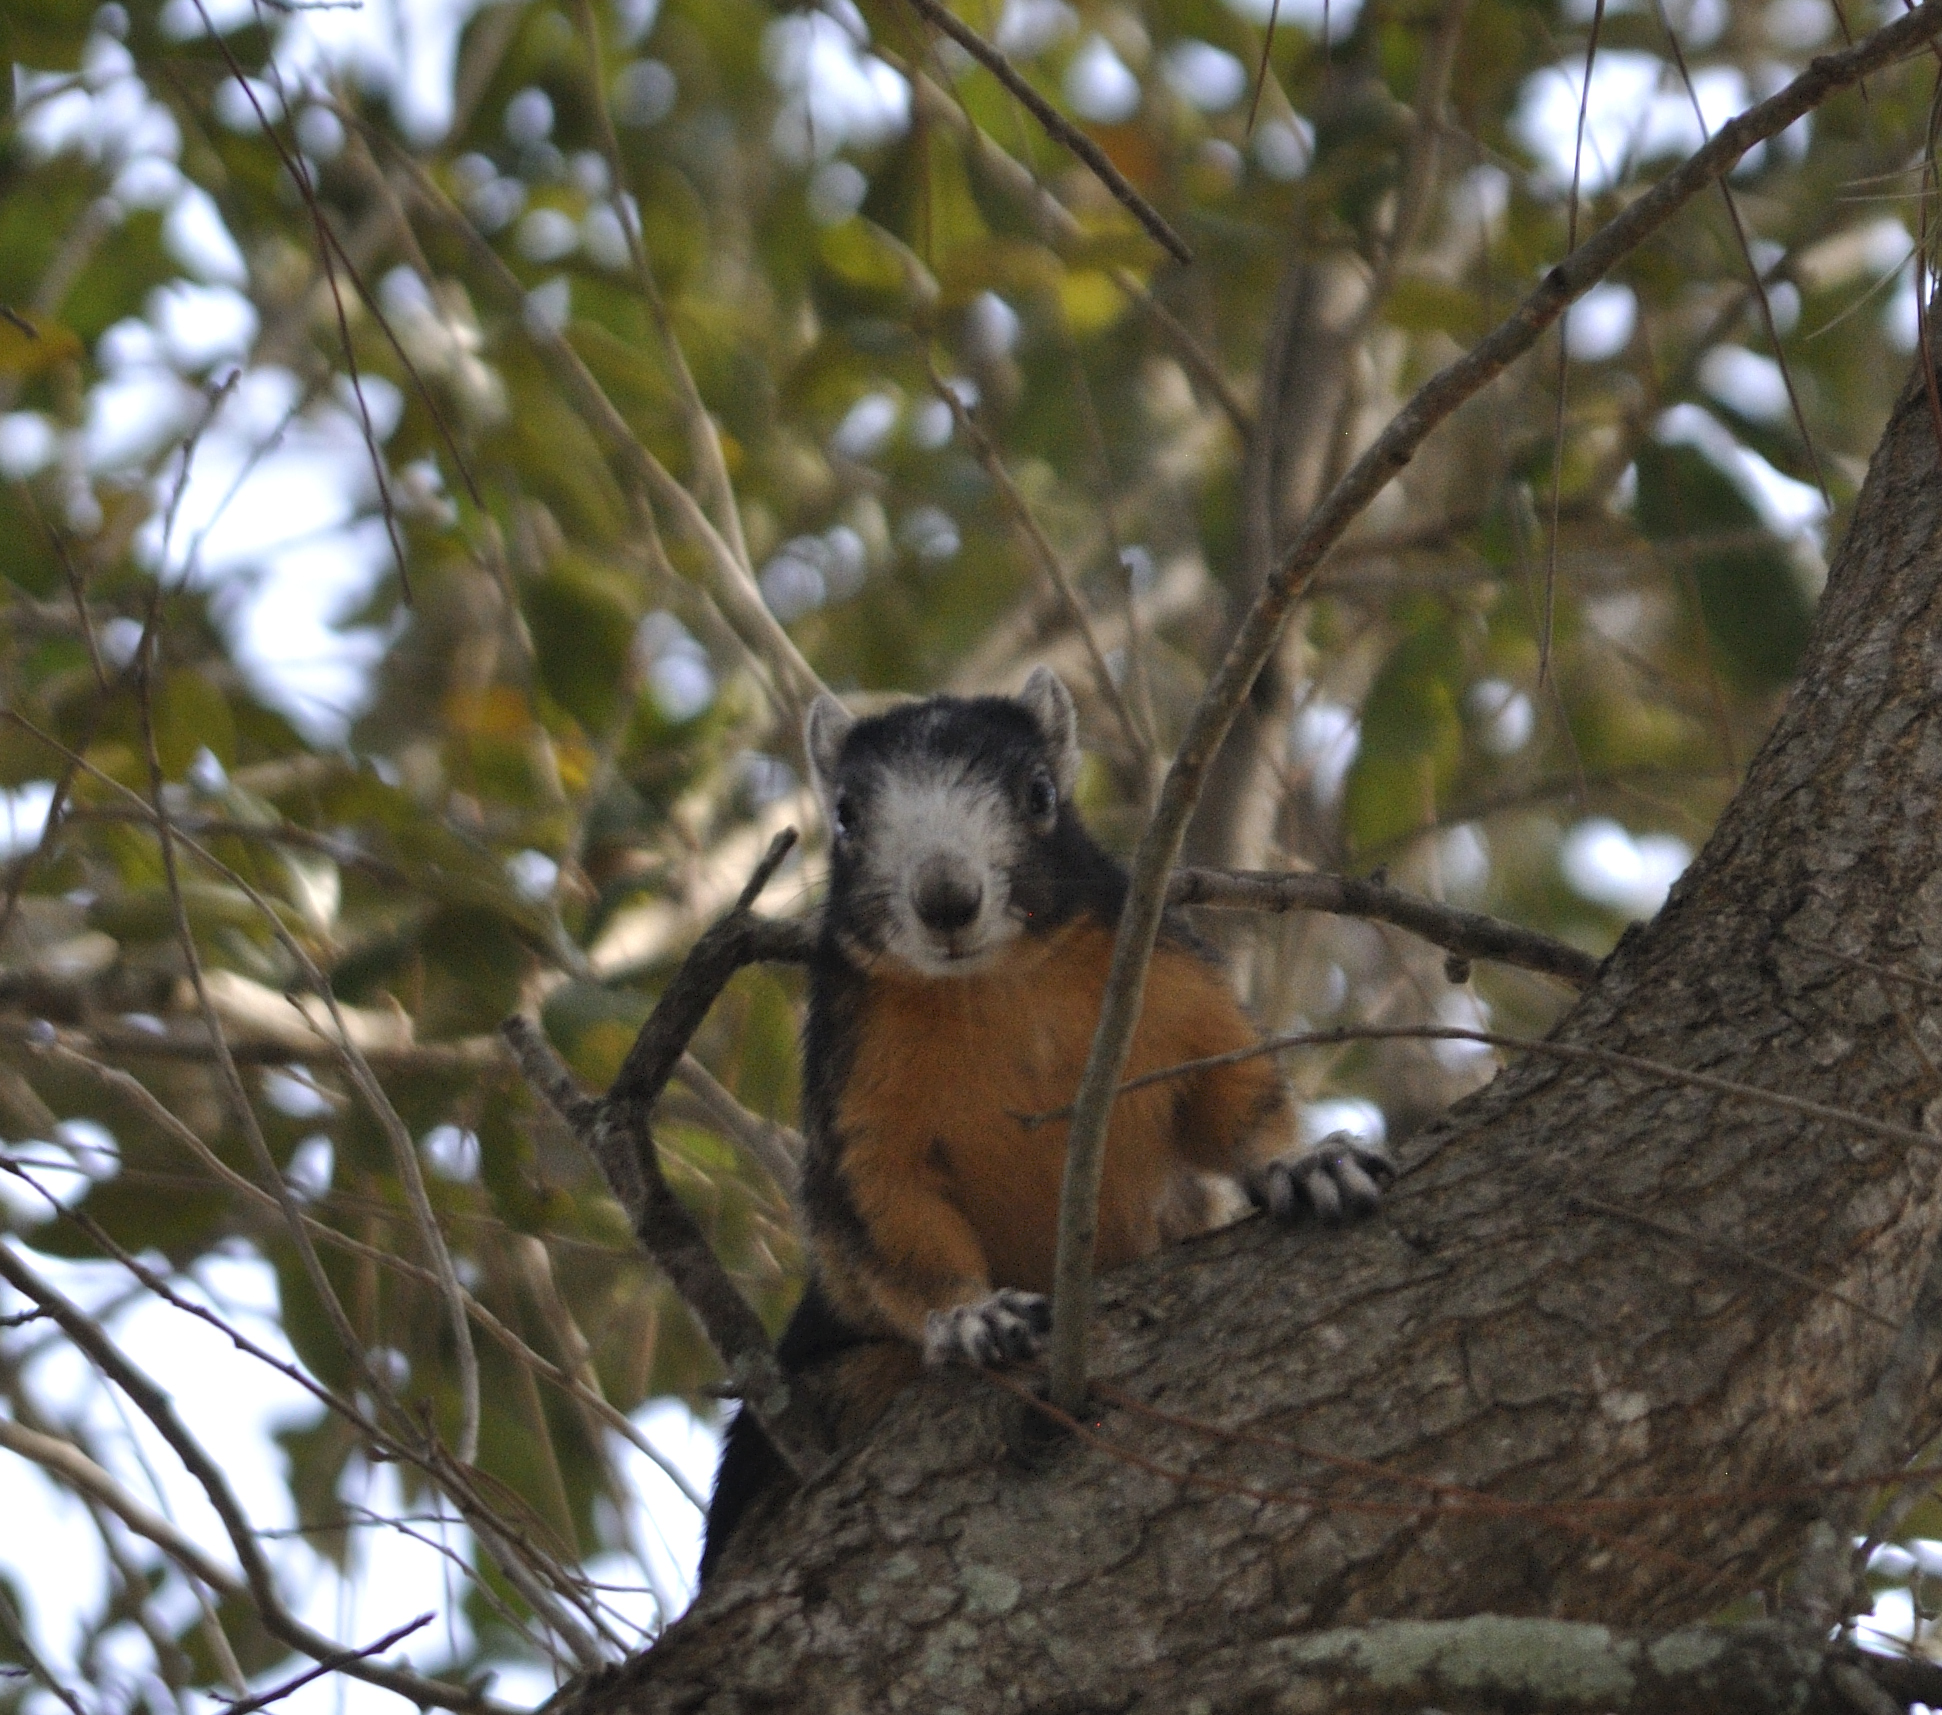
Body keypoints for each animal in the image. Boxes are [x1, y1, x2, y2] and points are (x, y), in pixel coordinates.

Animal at [699, 672, 1398, 1584]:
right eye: (845, 815)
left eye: (1039, 792)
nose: (947, 899)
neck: (999, 983)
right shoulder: (854, 1102)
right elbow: (890, 1223)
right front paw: (972, 1314)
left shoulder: (1177, 984)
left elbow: (1235, 1101)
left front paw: (1304, 1163)